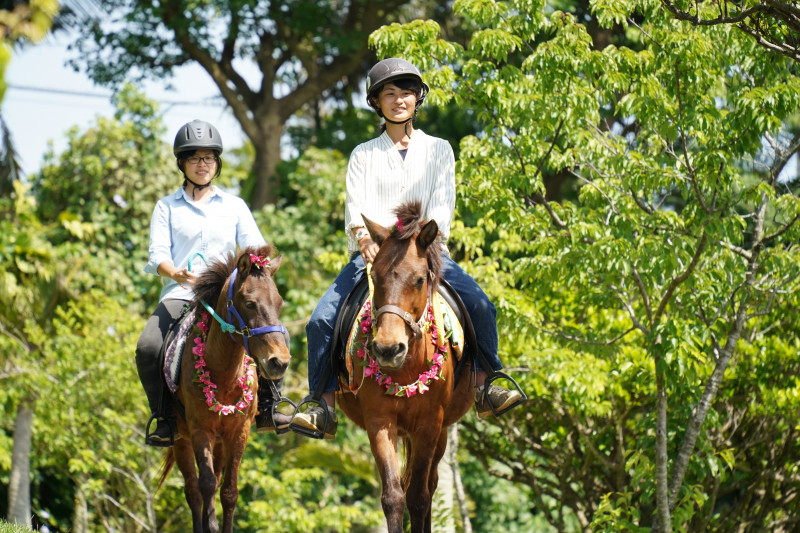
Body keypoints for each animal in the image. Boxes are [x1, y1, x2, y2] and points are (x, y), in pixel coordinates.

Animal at [155, 245, 290, 532]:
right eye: (249, 303)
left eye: (279, 303)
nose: (279, 362)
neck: (225, 373)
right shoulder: (200, 430)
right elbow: (205, 486)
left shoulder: (239, 431)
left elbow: (228, 491)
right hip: (181, 439)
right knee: (193, 490)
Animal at [338, 203, 476, 532]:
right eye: (375, 276)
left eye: (419, 280)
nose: (388, 349)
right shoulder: (379, 421)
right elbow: (394, 496)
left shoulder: (430, 424)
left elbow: (419, 496)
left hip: (440, 432)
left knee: (430, 485)